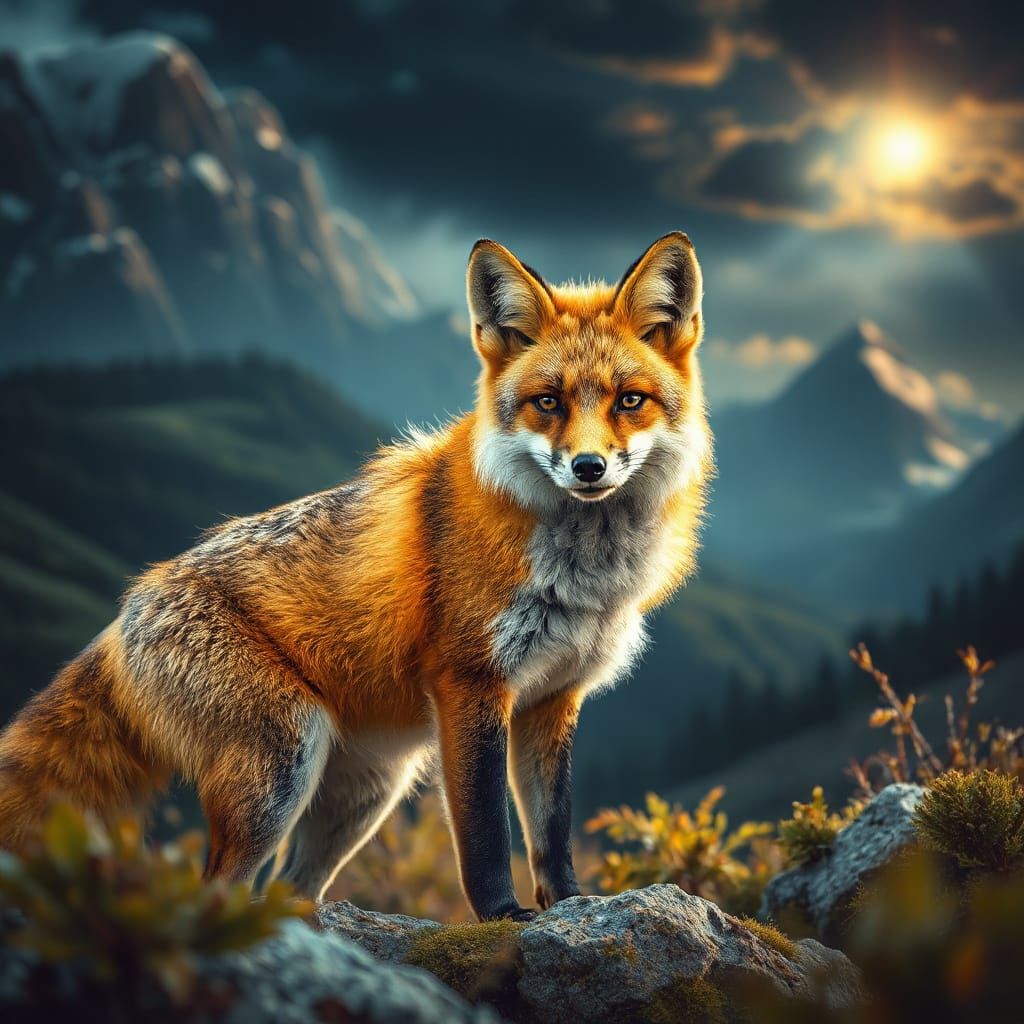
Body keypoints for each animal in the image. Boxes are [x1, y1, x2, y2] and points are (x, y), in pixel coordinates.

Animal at [0, 232, 712, 920]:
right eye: (548, 402)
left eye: (629, 401)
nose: (589, 467)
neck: (583, 579)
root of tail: (126, 611)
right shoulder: (470, 684)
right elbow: (486, 831)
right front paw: (503, 917)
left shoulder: (553, 699)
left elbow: (552, 831)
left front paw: (569, 907)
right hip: (281, 770)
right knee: (218, 891)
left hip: (363, 794)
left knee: (288, 891)